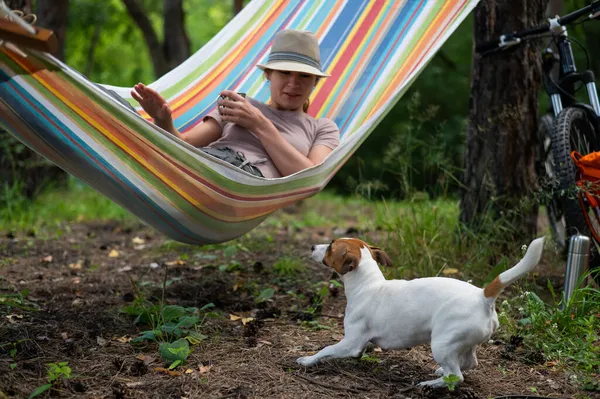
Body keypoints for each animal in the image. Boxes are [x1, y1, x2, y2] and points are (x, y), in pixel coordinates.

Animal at [298, 238, 548, 388]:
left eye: (330, 246)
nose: (311, 247)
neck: (368, 285)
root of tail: (482, 295)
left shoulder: (350, 343)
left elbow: (326, 349)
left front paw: (308, 359)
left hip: (441, 343)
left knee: (458, 376)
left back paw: (431, 384)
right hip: (460, 342)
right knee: (468, 363)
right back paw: (441, 372)